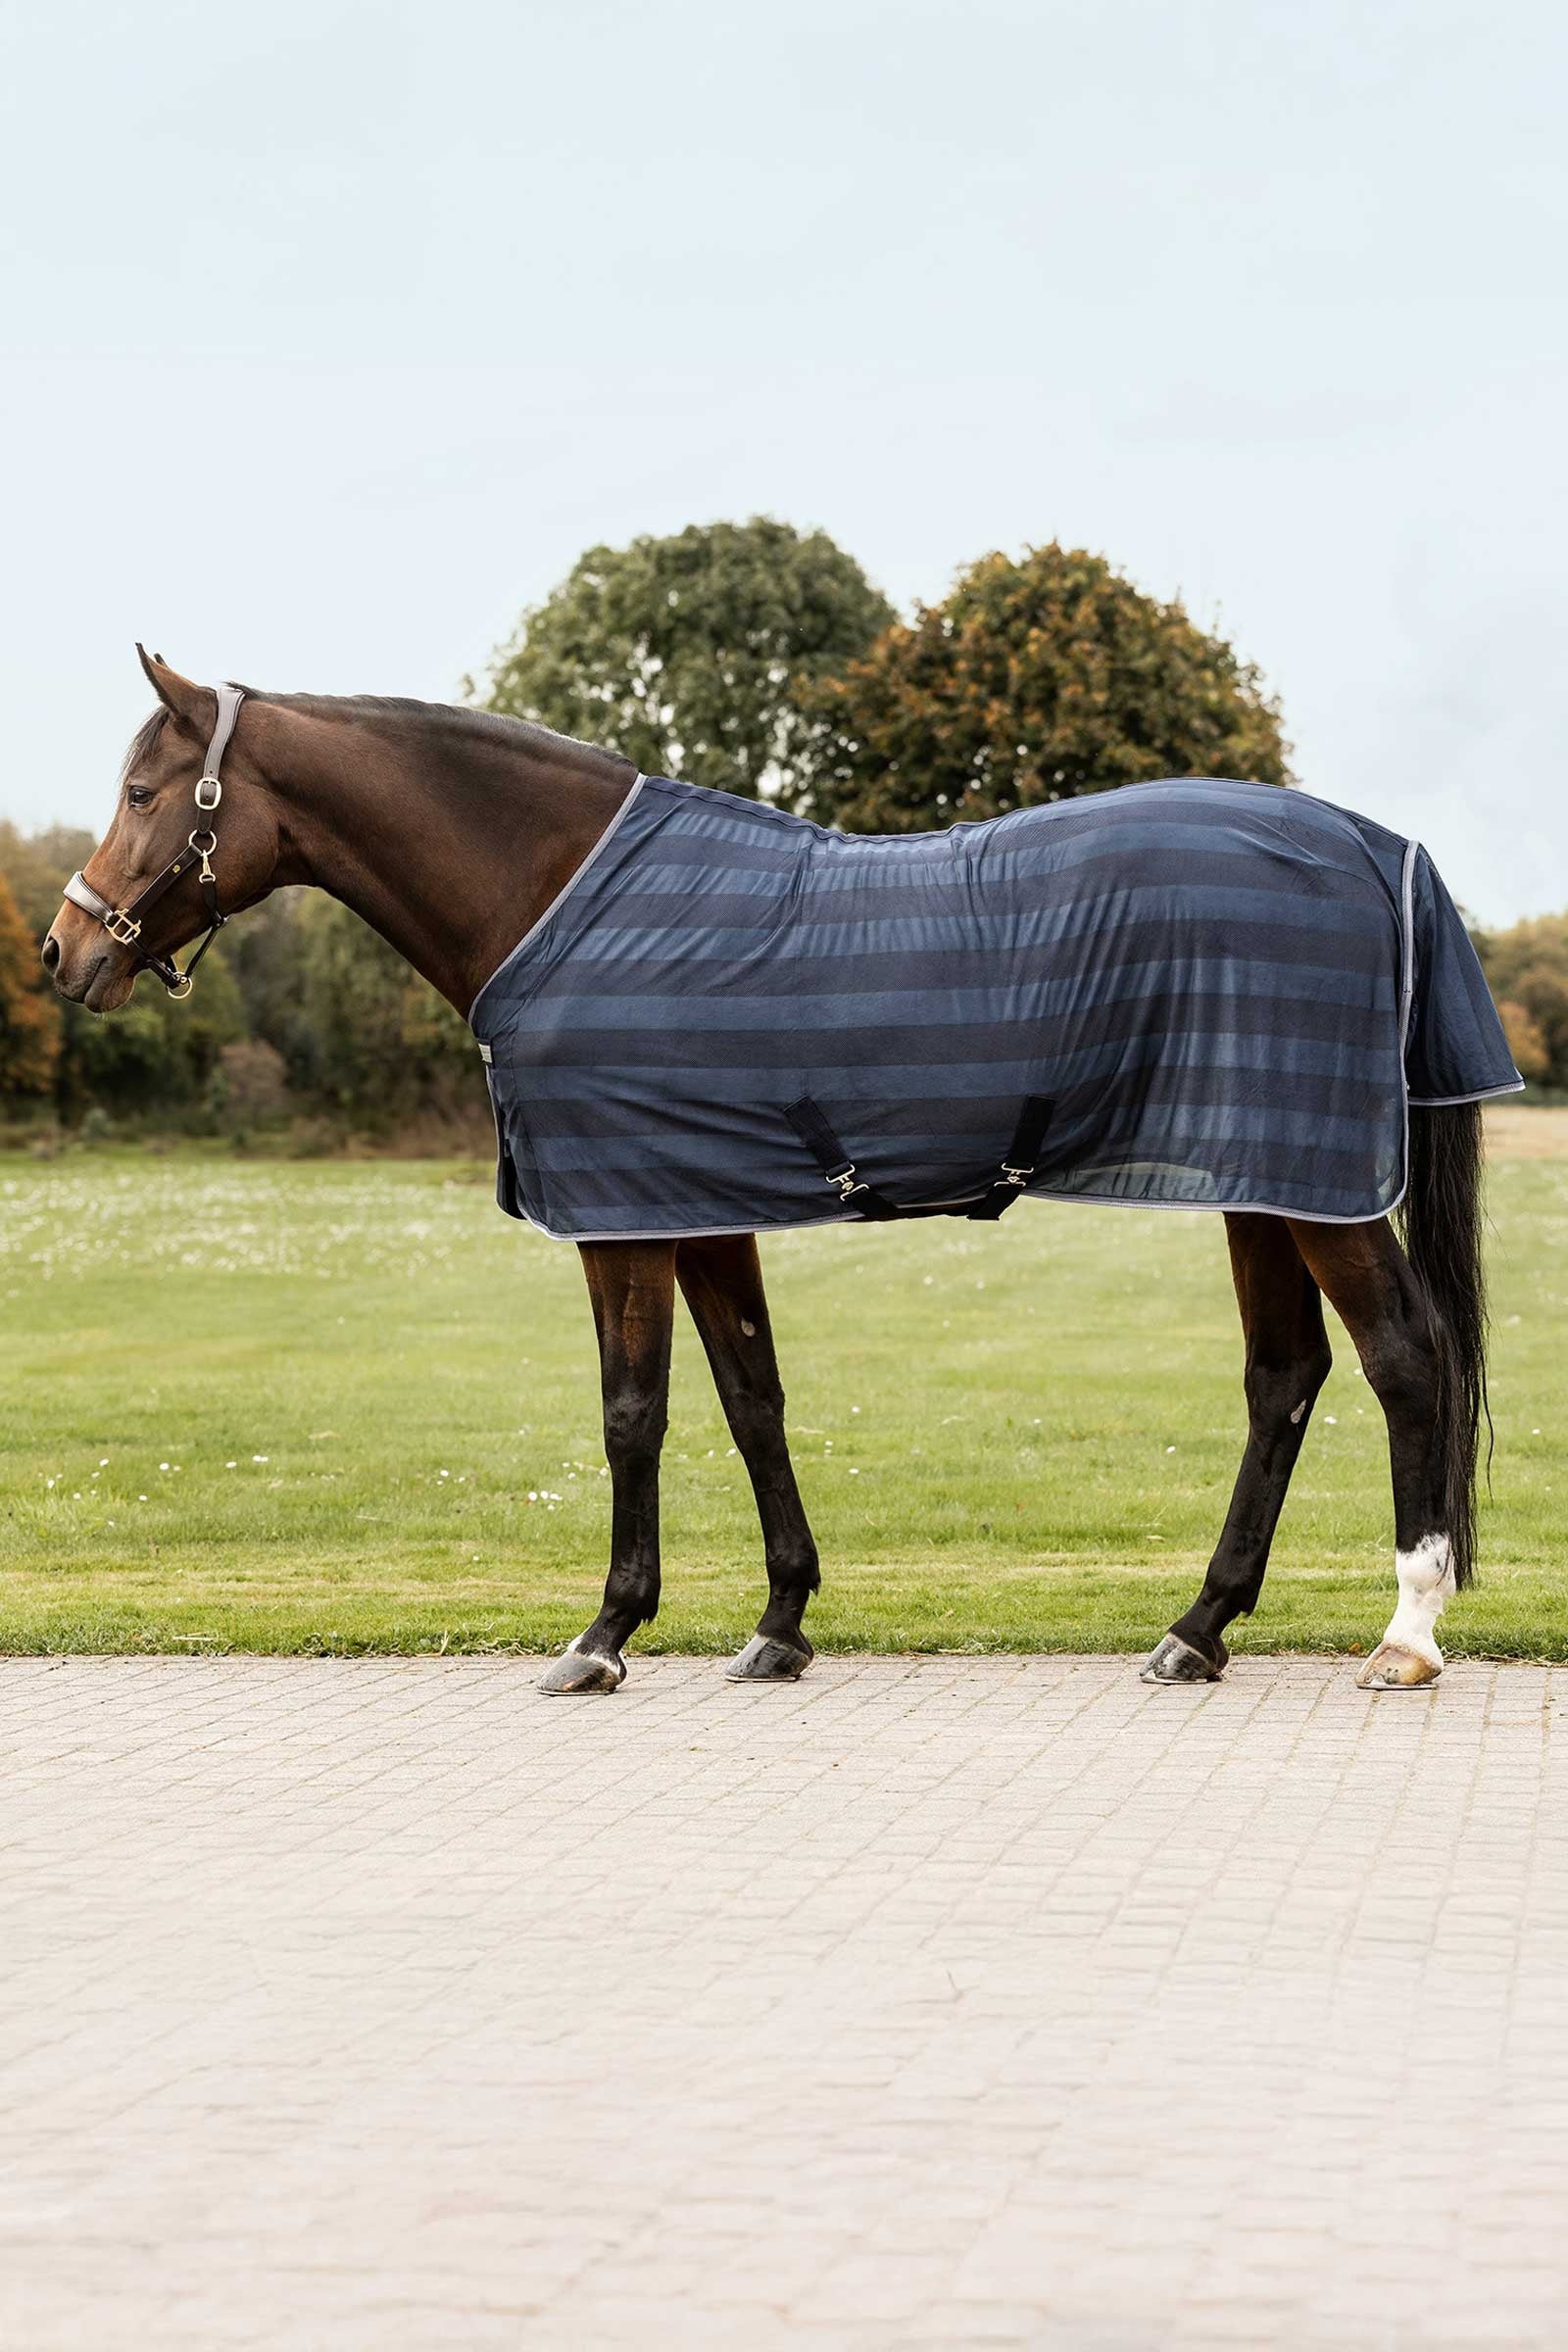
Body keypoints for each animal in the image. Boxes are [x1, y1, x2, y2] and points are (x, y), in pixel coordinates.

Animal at [44, 649, 1520, 1696]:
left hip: (1312, 1186)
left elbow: (631, 1412)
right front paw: (780, 1623)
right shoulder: (701, 1209)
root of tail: (1377, 849)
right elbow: (753, 1401)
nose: (67, 952)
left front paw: (604, 1632)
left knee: (1406, 1356)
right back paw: (1197, 1629)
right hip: (1268, 1176)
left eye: (143, 793)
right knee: (1286, 1377)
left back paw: (1406, 1633)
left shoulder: (623, 1220)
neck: (560, 895)